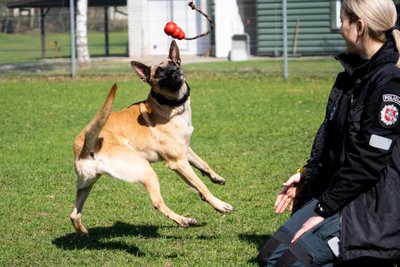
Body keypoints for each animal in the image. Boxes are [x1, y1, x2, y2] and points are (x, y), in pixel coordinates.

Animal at [70, 40, 234, 236]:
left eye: (174, 63)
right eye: (158, 73)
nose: (174, 71)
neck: (169, 107)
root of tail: (86, 144)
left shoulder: (185, 150)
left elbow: (203, 165)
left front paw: (216, 177)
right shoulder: (178, 162)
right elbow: (202, 186)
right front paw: (219, 204)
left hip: (86, 184)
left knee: (74, 214)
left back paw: (82, 231)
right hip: (146, 171)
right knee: (157, 202)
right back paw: (184, 220)